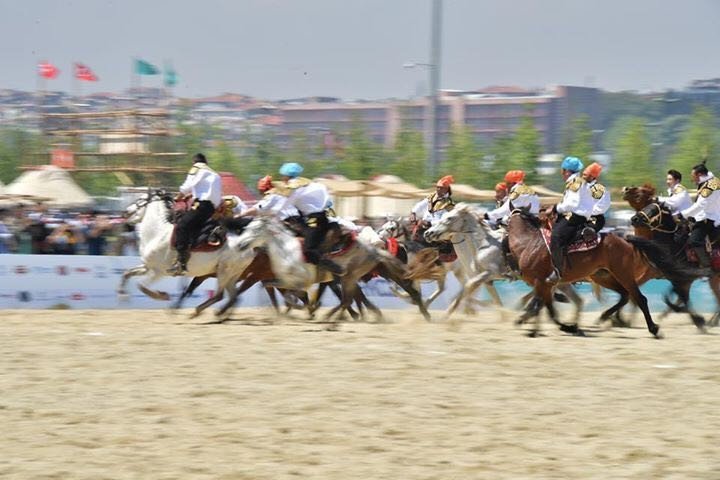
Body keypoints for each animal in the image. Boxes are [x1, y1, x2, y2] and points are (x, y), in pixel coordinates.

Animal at [116, 189, 255, 316]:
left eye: (140, 199)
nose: (125, 212)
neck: (158, 234)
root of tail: (246, 244)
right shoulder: (147, 267)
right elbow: (126, 274)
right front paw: (123, 295)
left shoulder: (159, 272)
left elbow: (141, 286)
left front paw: (162, 295)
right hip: (232, 274)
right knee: (233, 296)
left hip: (224, 271)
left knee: (219, 296)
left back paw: (199, 311)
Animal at [422, 203, 584, 320]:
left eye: (449, 218)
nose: (428, 233)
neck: (481, 244)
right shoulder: (486, 280)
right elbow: (491, 298)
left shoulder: (488, 274)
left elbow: (468, 289)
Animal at [504, 210, 660, 338]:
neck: (528, 244)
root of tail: (624, 239)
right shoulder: (545, 286)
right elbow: (547, 308)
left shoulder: (541, 282)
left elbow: (543, 308)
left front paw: (566, 327)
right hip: (603, 276)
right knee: (624, 295)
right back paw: (603, 317)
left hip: (624, 274)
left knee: (639, 298)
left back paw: (653, 329)